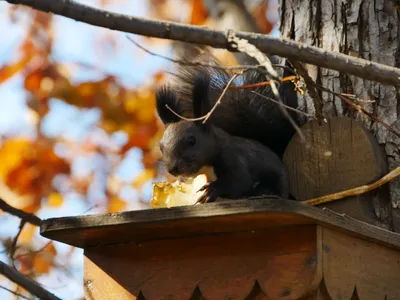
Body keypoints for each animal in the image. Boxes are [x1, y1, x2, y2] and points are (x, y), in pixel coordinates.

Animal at [155, 69, 292, 203]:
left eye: (191, 141)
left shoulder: (234, 157)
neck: (205, 167)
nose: (173, 169)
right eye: (161, 147)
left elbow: (241, 181)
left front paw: (213, 189)